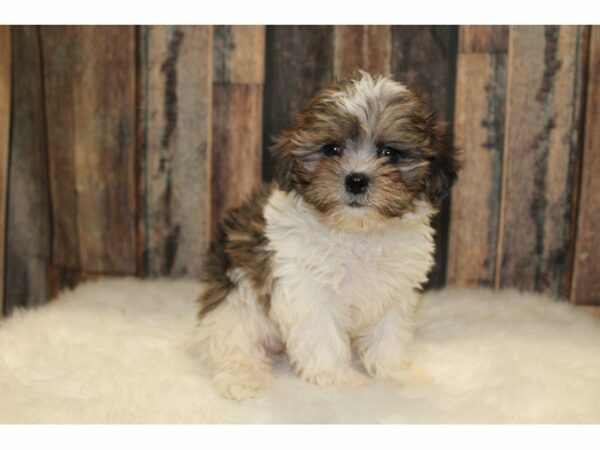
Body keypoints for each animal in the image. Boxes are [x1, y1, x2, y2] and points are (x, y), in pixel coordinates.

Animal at [197, 72, 460, 400]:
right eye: (332, 149)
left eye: (389, 152)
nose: (356, 180)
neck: (357, 231)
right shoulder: (306, 291)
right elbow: (324, 341)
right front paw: (341, 384)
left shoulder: (393, 292)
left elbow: (388, 337)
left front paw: (398, 376)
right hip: (236, 298)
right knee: (231, 343)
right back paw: (243, 378)